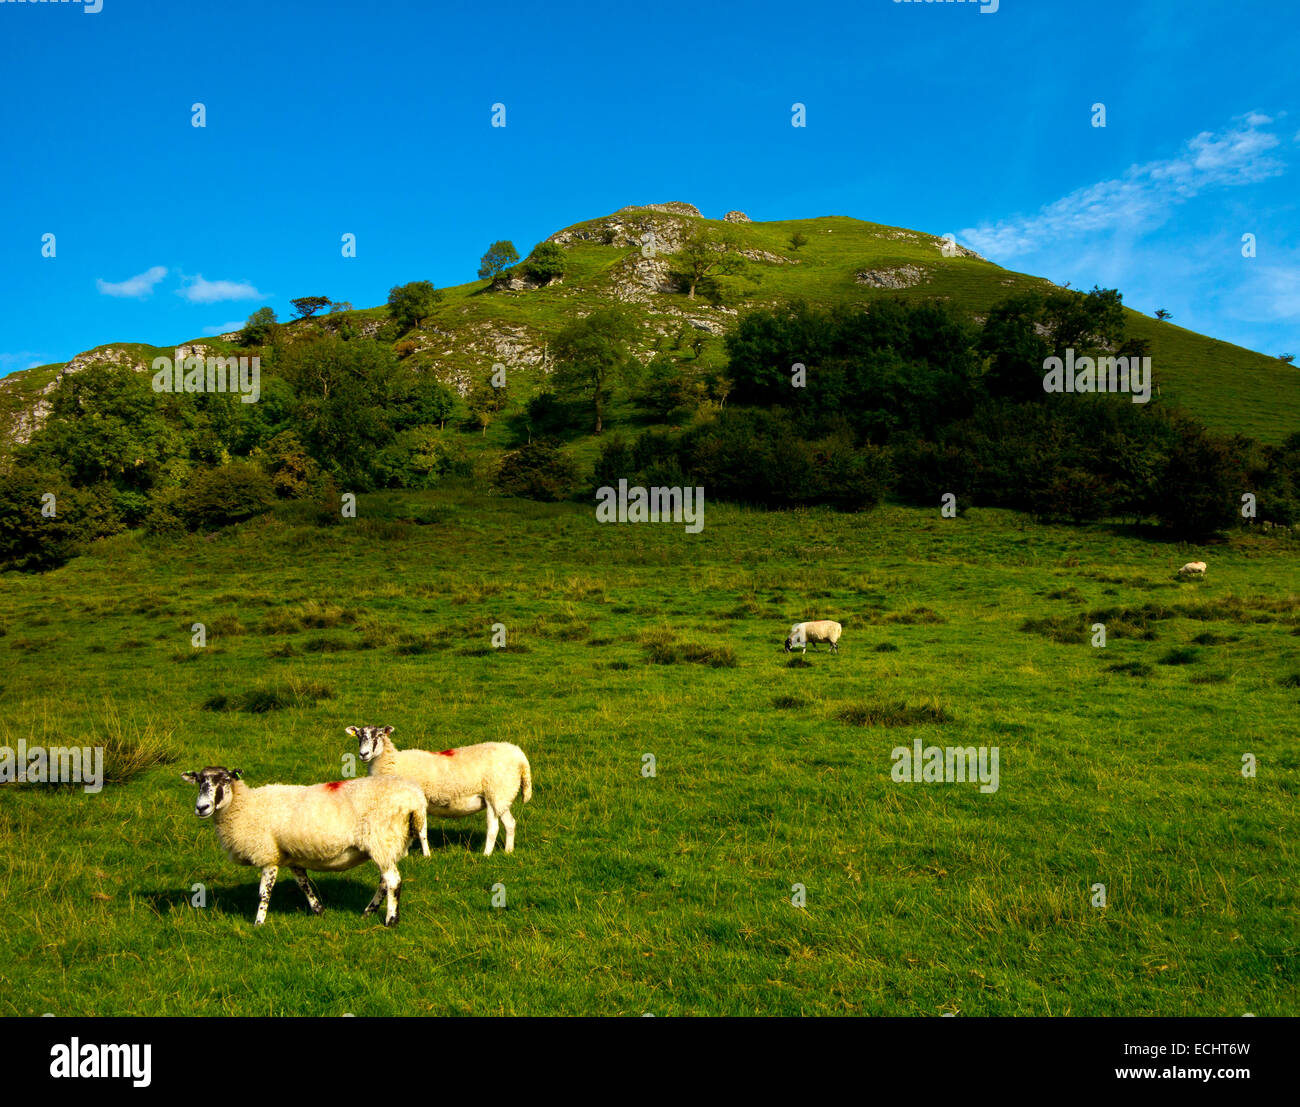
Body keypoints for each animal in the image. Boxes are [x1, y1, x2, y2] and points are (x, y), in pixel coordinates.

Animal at [180, 766, 429, 927]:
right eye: (199, 782)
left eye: (224, 781)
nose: (201, 808)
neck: (245, 806)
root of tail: (415, 799)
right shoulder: (290, 856)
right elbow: (304, 884)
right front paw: (319, 910)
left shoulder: (267, 854)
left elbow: (264, 893)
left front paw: (258, 923)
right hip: (390, 843)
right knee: (385, 882)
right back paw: (368, 912)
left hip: (381, 839)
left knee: (393, 881)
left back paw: (391, 920)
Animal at [347, 725, 532, 856]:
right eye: (358, 736)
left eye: (379, 735)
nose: (363, 754)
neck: (392, 763)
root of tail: (520, 756)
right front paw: (404, 854)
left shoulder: (419, 802)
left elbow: (421, 831)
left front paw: (426, 855)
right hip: (503, 796)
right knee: (510, 823)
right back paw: (508, 851)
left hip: (495, 793)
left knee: (494, 828)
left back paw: (486, 854)